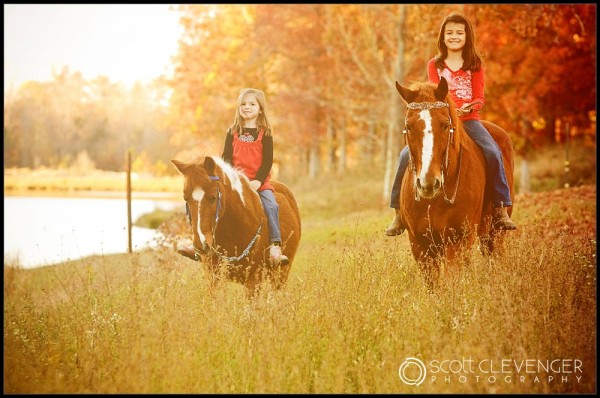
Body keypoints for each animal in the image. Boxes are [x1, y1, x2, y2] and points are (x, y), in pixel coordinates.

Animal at [171, 155, 302, 296]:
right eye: (186, 198)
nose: (201, 245)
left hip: (281, 274)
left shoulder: (253, 280)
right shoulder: (213, 276)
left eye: (213, 197)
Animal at [394, 78, 516, 280]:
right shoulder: (420, 245)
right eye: (409, 127)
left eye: (445, 125)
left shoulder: (458, 241)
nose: (428, 183)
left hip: (494, 233)